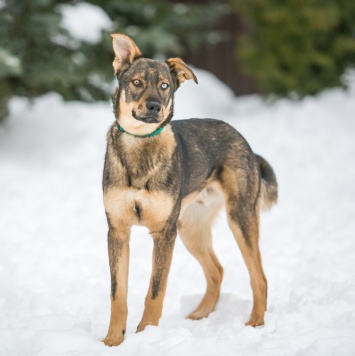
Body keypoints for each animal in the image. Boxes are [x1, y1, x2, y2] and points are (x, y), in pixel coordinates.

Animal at [102, 32, 278, 344]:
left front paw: (146, 336)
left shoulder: (164, 234)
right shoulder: (118, 231)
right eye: (137, 82)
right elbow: (117, 295)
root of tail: (244, 141)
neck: (140, 144)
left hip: (239, 220)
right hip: (190, 228)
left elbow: (155, 292)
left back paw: (255, 323)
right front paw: (113, 341)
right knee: (217, 271)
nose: (155, 107)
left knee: (259, 277)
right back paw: (200, 314)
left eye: (164, 86)